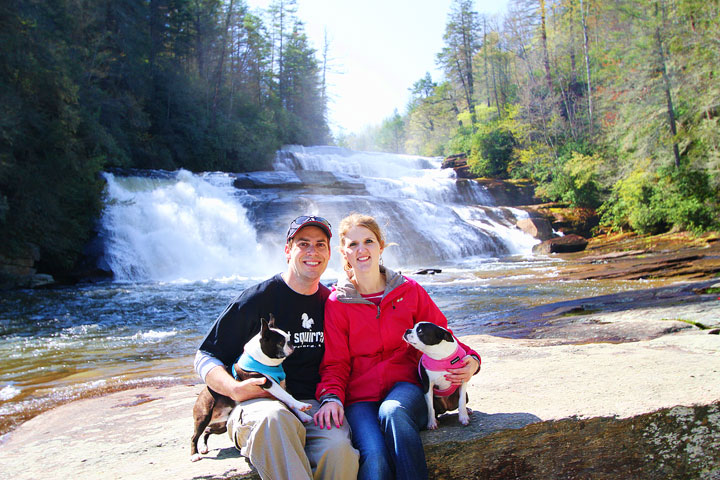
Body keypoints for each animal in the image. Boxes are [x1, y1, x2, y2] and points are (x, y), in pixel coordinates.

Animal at [191, 316, 312, 462]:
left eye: (289, 338)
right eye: (281, 342)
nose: (291, 344)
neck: (265, 362)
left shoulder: (283, 385)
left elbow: (290, 399)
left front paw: (303, 415)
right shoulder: (268, 383)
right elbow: (287, 397)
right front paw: (301, 405)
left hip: (222, 425)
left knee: (207, 430)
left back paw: (203, 447)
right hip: (203, 415)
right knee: (194, 436)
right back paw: (194, 454)